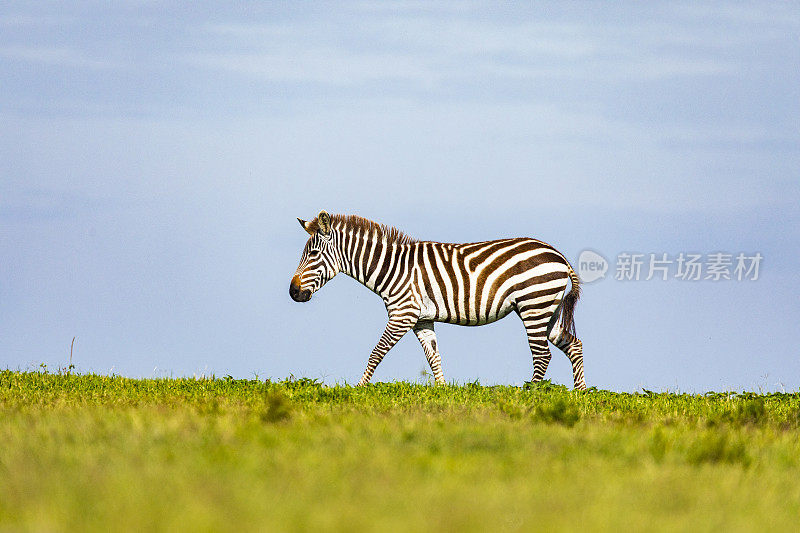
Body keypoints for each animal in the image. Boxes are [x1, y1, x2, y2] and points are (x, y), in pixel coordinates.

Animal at [290, 210, 588, 388]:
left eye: (313, 254)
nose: (293, 292)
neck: (391, 268)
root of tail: (559, 255)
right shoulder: (421, 320)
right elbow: (434, 357)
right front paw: (442, 393)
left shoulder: (402, 314)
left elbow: (377, 352)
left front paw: (359, 390)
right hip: (546, 310)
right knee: (573, 345)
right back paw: (579, 395)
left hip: (533, 306)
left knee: (542, 354)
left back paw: (530, 394)